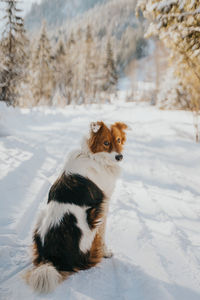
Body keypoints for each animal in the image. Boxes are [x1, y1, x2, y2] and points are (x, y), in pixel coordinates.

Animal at [24, 120, 127, 292]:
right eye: (106, 143)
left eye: (118, 140)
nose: (119, 157)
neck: (94, 157)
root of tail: (51, 259)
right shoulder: (104, 205)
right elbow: (102, 236)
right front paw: (106, 252)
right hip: (92, 218)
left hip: (41, 215)